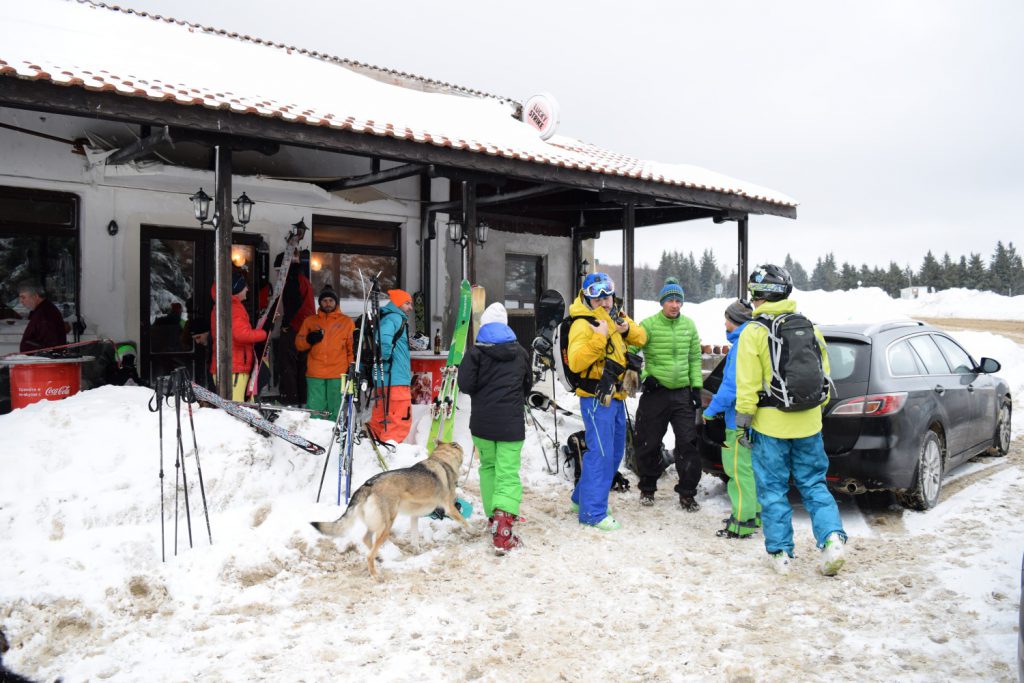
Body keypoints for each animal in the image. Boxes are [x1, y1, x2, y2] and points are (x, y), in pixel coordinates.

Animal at [309, 444, 468, 577]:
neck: (441, 460)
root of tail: (367, 484)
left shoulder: (414, 516)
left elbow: (415, 538)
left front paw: (417, 551)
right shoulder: (449, 508)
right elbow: (466, 522)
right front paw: (472, 532)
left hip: (377, 525)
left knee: (366, 539)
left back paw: (380, 557)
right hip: (387, 526)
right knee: (369, 553)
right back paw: (376, 575)